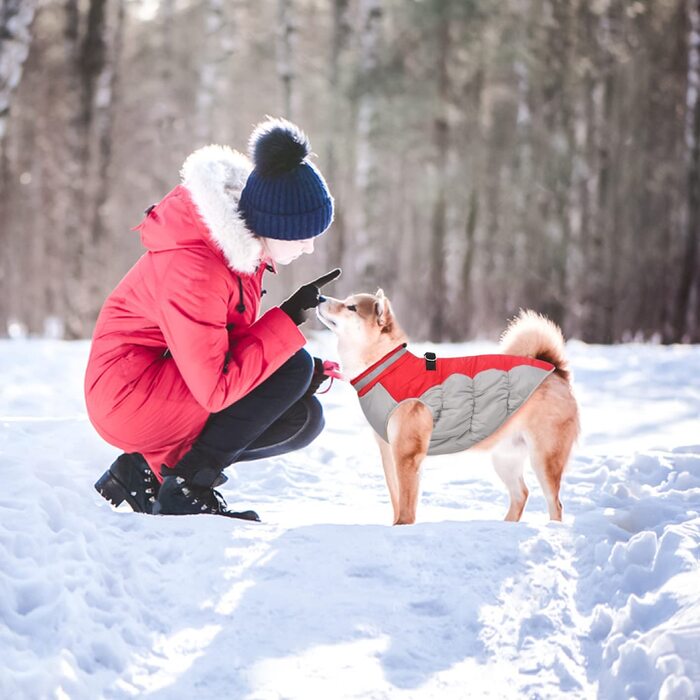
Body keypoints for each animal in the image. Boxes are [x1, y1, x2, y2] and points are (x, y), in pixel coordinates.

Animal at [318, 290, 580, 524]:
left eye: (351, 307)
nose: (319, 297)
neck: (385, 366)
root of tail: (555, 371)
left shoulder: (407, 453)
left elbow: (406, 502)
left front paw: (402, 526)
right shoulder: (389, 451)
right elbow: (397, 497)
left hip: (544, 458)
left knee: (554, 503)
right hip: (505, 456)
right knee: (521, 494)